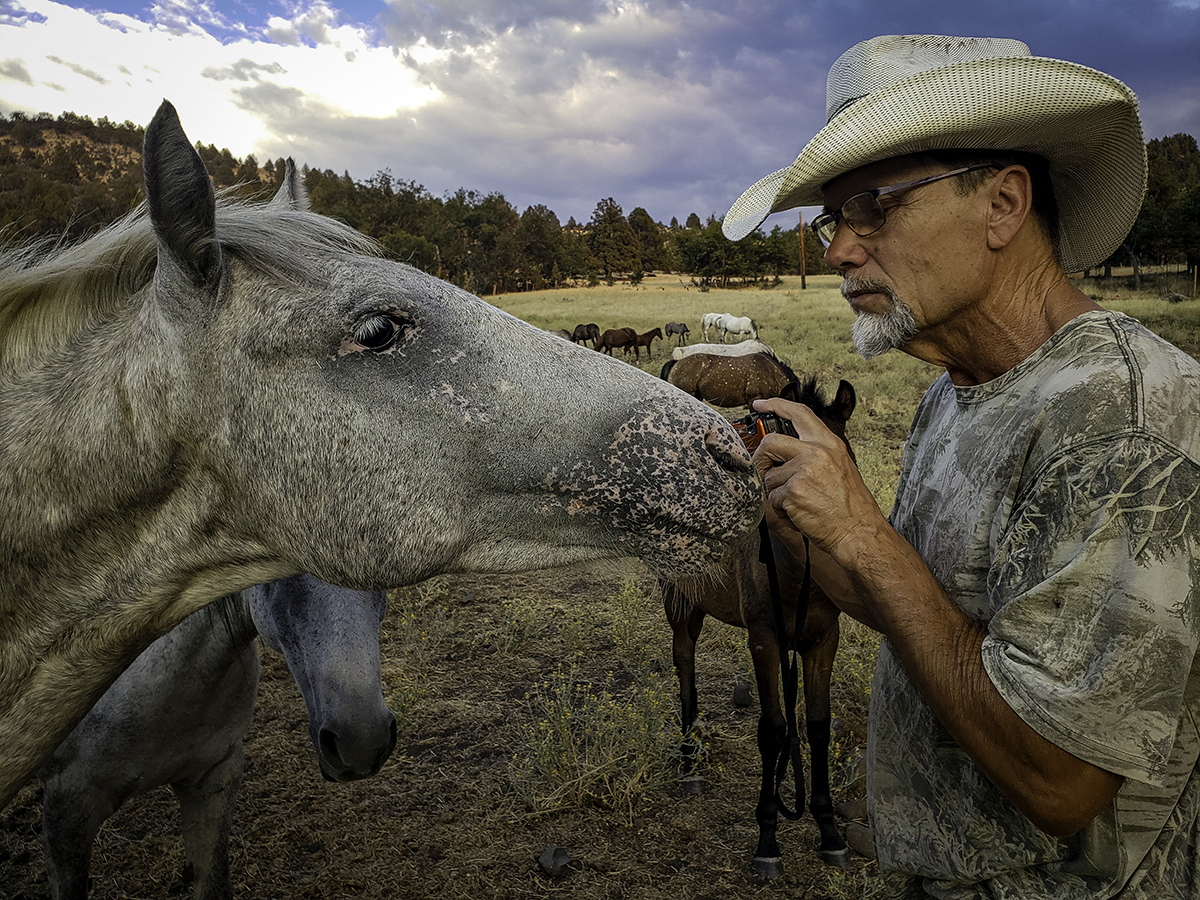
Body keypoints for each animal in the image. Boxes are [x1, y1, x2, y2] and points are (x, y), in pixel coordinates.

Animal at [667, 376, 854, 878]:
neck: (796, 572)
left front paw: (829, 831)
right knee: (685, 669)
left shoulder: (821, 641)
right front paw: (767, 839)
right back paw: (689, 765)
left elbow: (817, 725)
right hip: (681, 607)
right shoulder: (765, 641)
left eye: (845, 459)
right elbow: (772, 730)